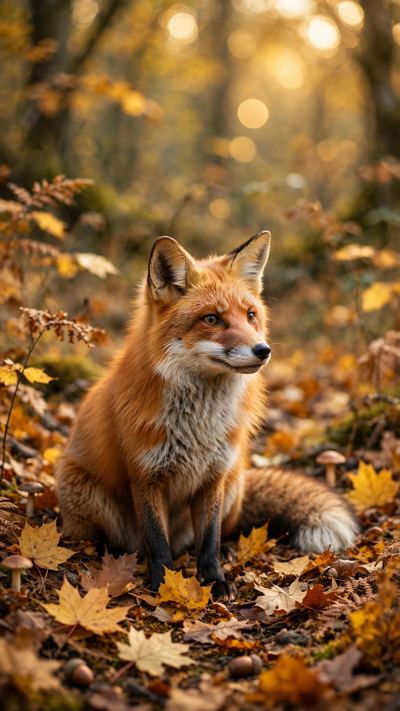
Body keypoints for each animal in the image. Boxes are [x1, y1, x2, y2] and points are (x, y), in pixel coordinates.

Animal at [56, 231, 358, 599]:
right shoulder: (145, 476)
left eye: (251, 315)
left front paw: (214, 579)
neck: (197, 427)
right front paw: (163, 582)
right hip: (84, 493)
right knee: (119, 540)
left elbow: (210, 540)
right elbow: (157, 541)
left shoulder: (214, 475)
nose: (263, 350)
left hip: (234, 483)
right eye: (212, 319)